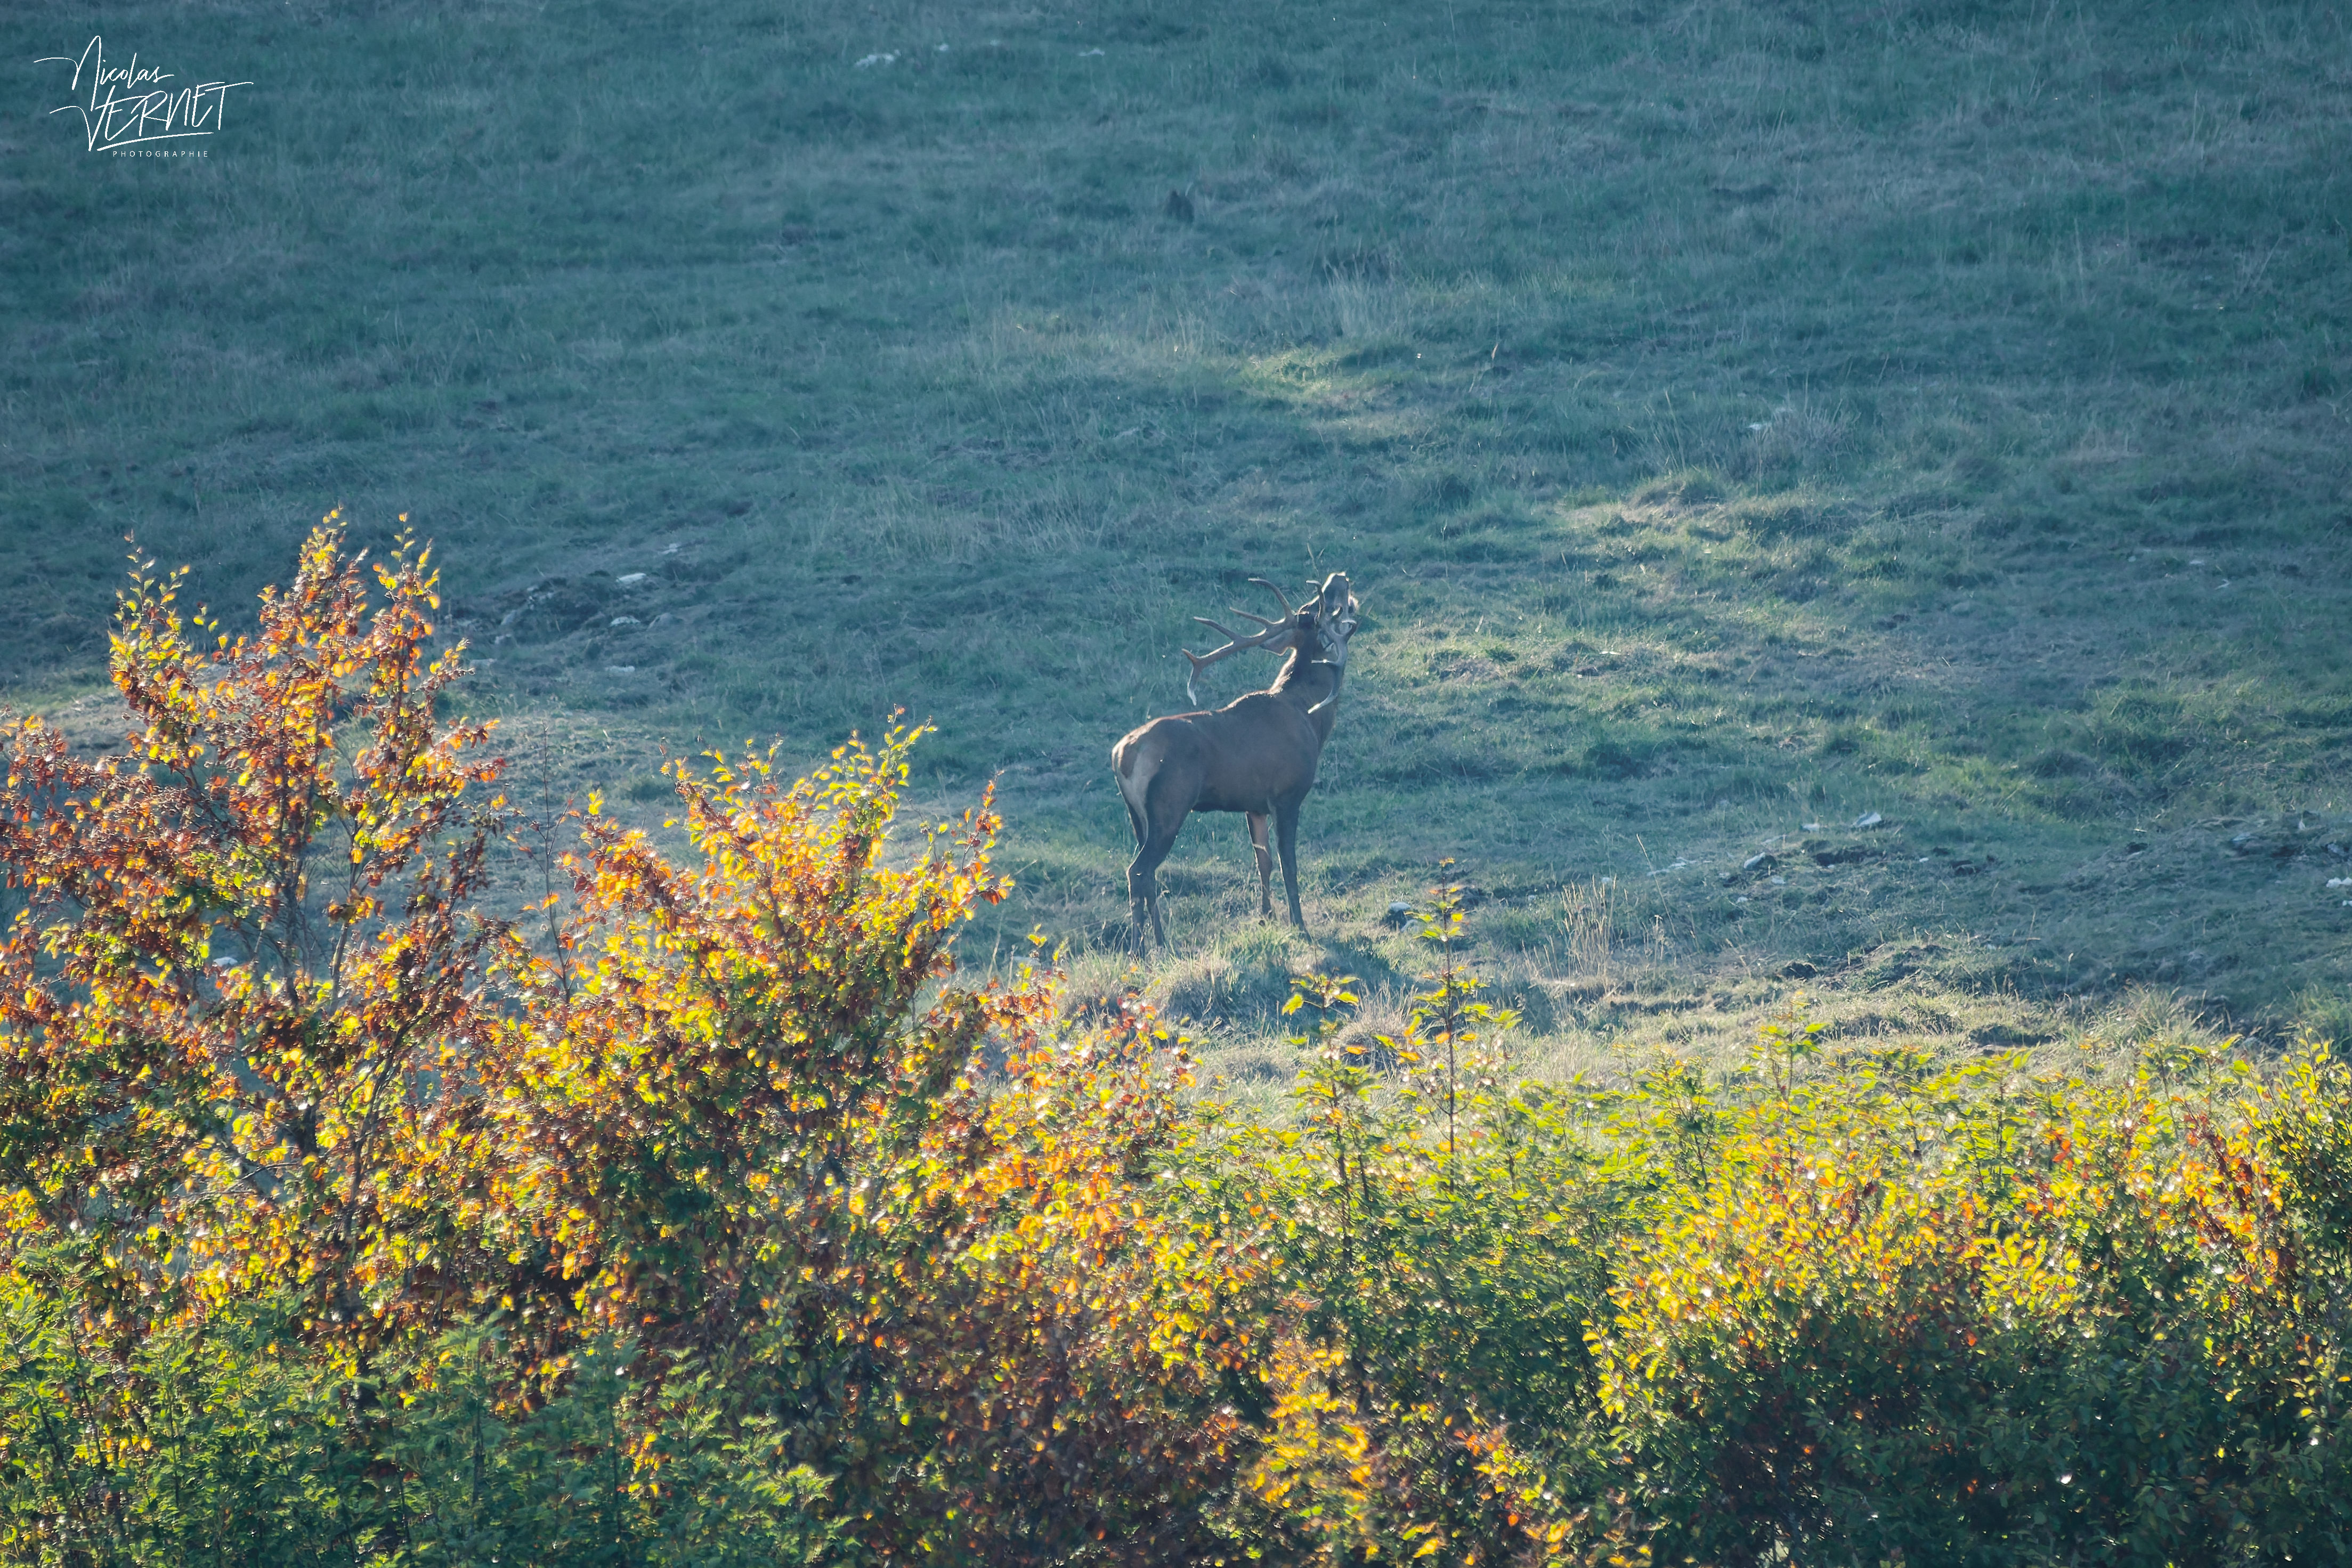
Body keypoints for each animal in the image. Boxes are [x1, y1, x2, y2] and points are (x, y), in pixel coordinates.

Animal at [1112, 572, 1359, 951]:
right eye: (1325, 606)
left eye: (1311, 605)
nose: (1338, 577)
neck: (1312, 718)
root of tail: (1121, 755)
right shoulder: (1287, 796)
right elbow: (1288, 864)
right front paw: (1300, 926)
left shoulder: (1253, 805)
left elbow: (1263, 862)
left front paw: (1266, 917)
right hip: (1170, 805)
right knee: (1138, 871)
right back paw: (1141, 949)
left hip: (1137, 817)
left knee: (1146, 872)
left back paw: (1162, 943)